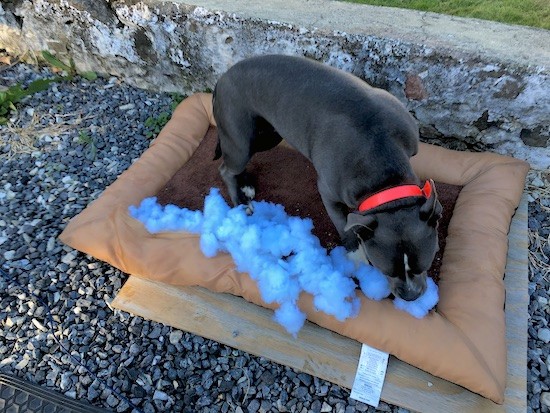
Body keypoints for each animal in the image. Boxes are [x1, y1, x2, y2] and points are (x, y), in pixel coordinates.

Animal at [212, 54, 444, 300]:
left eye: (424, 265)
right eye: (386, 270)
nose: (411, 295)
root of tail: (223, 77)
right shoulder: (329, 193)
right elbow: (344, 224)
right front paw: (356, 257)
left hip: (266, 135)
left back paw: (245, 186)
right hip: (241, 139)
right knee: (226, 168)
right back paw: (241, 202)